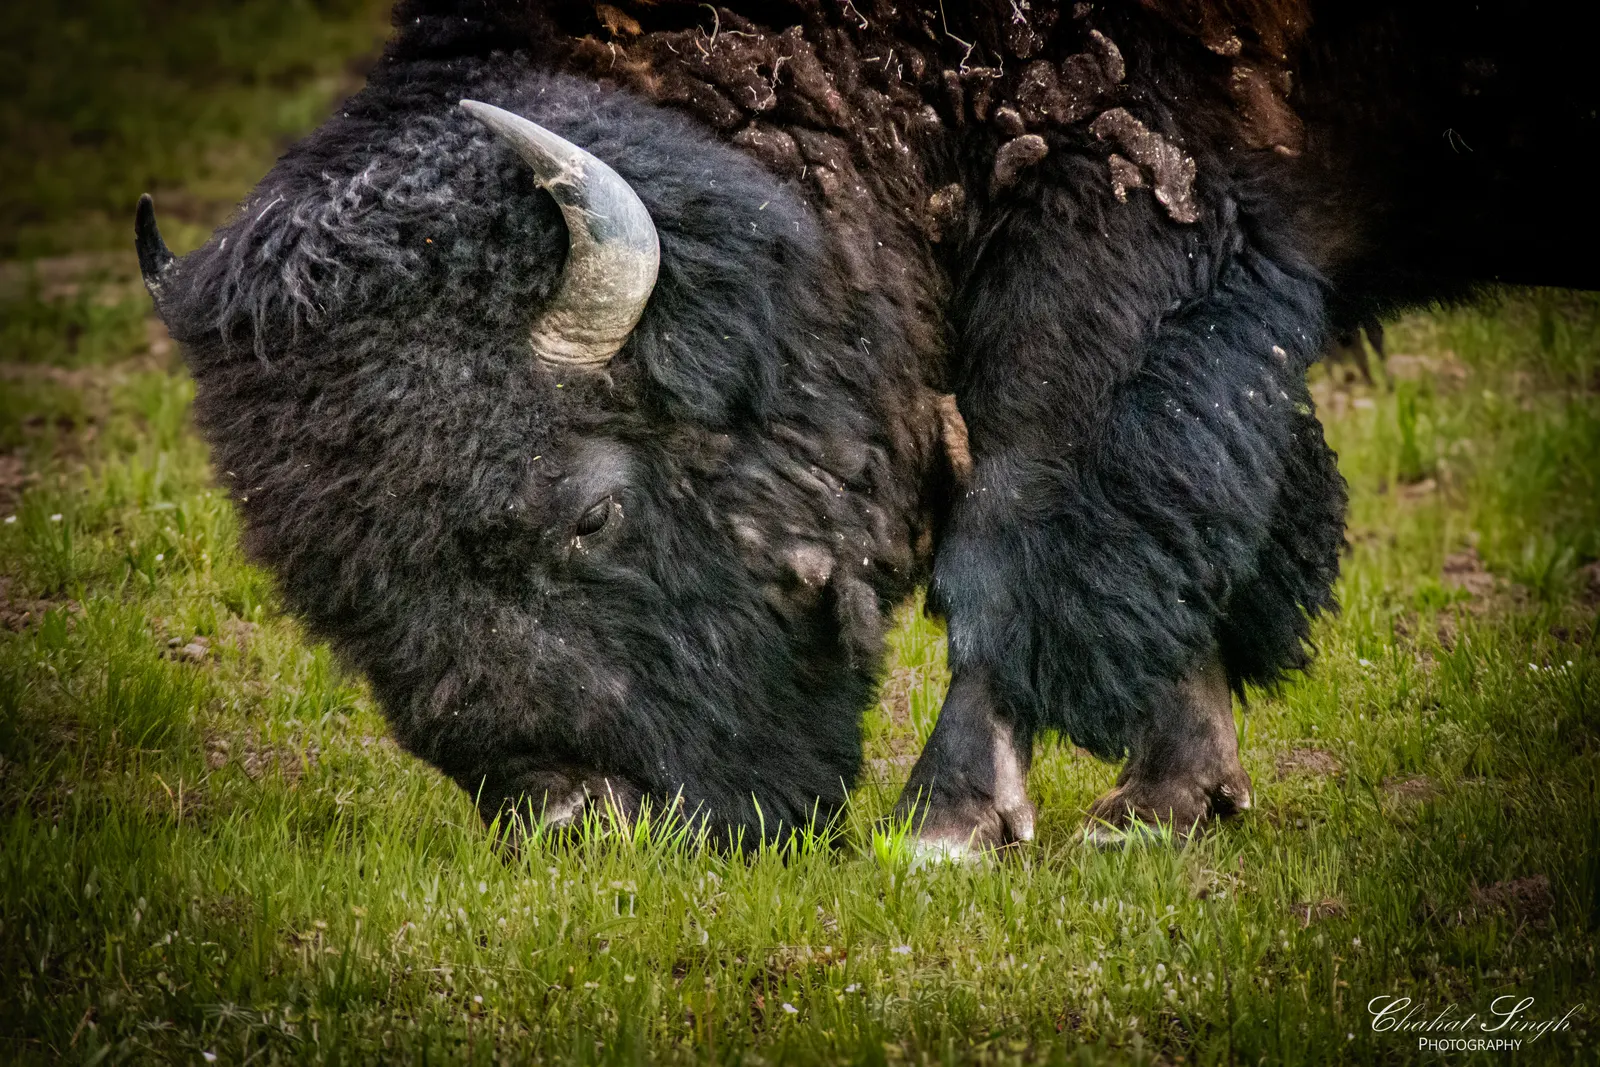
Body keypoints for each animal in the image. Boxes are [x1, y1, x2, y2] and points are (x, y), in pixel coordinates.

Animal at [136, 0, 1599, 853]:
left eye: (591, 510)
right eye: (329, 592)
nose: (579, 822)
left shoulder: (1123, 232)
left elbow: (1031, 524)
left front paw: (955, 823)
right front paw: (1167, 804)